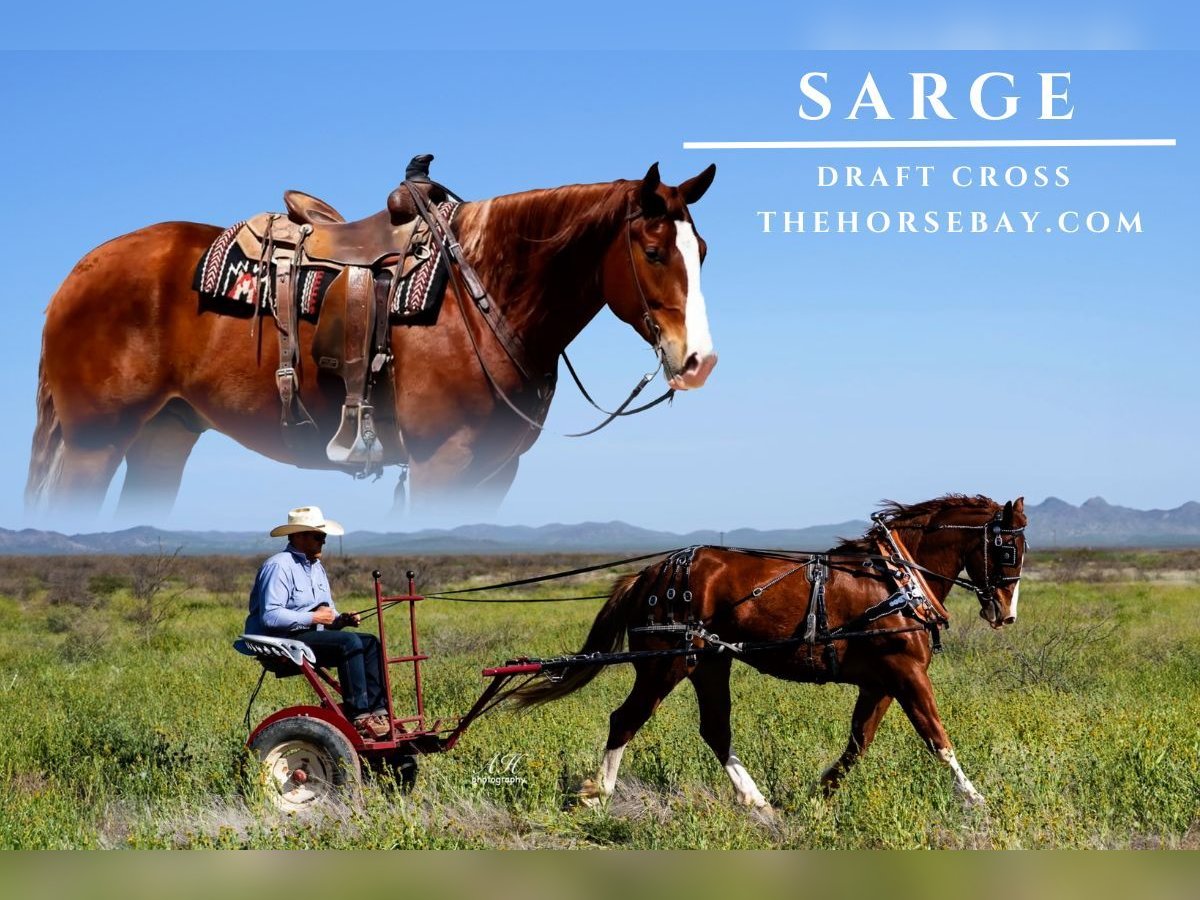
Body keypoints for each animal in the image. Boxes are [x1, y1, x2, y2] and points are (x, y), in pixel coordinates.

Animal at [28, 163, 715, 518]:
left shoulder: (496, 472)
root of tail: (79, 272)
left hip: (162, 438)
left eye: (701, 250)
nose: (699, 361)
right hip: (94, 444)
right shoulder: (442, 464)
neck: (481, 293)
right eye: (653, 251)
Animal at [511, 494, 1027, 816]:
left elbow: (858, 743)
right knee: (626, 719)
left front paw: (817, 796)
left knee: (715, 729)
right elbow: (937, 738)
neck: (895, 581)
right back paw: (597, 793)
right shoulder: (905, 673)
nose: (1005, 613)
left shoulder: (881, 682)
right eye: (1007, 549)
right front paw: (977, 800)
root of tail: (650, 575)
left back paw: (757, 800)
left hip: (709, 663)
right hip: (666, 664)